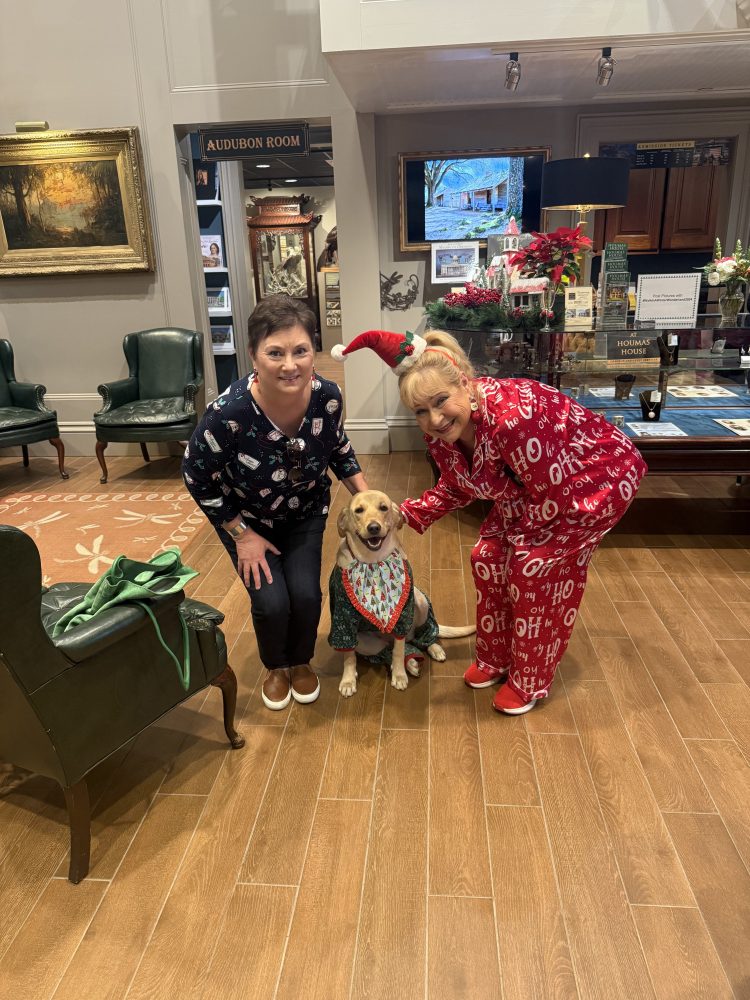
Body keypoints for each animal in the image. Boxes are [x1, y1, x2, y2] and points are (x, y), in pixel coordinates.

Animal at [330, 490, 476, 696]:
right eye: (358, 510)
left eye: (383, 507)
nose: (374, 527)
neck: (373, 561)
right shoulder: (343, 622)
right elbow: (349, 656)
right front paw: (348, 680)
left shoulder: (402, 615)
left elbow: (399, 652)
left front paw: (399, 676)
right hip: (367, 643)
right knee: (388, 651)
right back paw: (411, 662)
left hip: (420, 602)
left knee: (420, 635)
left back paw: (432, 648)